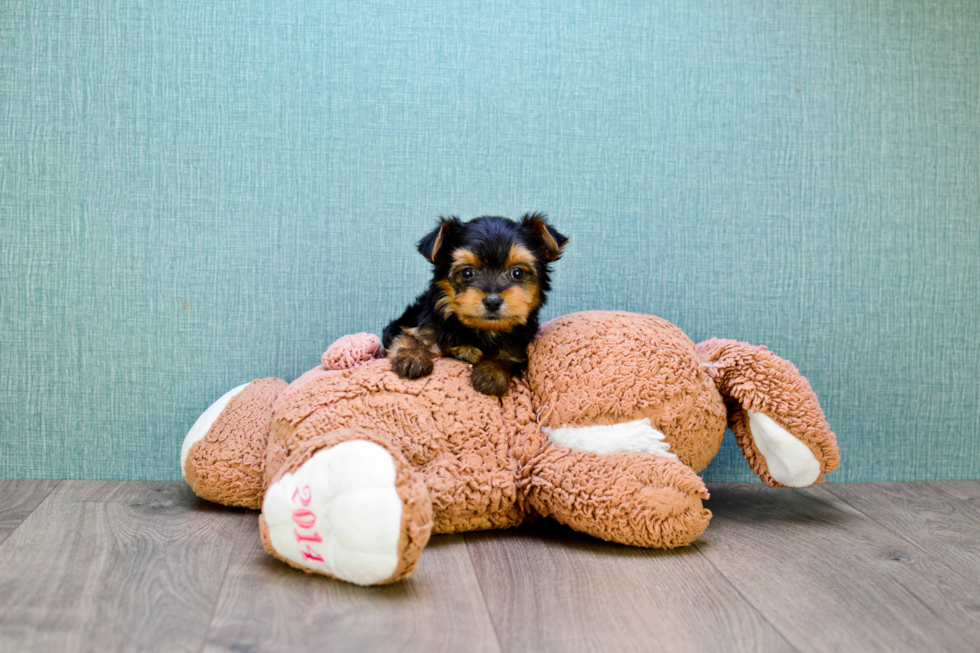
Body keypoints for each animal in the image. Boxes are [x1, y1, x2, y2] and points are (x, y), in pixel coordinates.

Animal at [382, 216, 568, 394]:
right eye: (467, 273)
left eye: (517, 273)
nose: (492, 301)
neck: (483, 330)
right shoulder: (426, 328)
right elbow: (408, 336)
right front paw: (412, 357)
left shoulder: (519, 344)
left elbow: (508, 354)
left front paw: (492, 372)